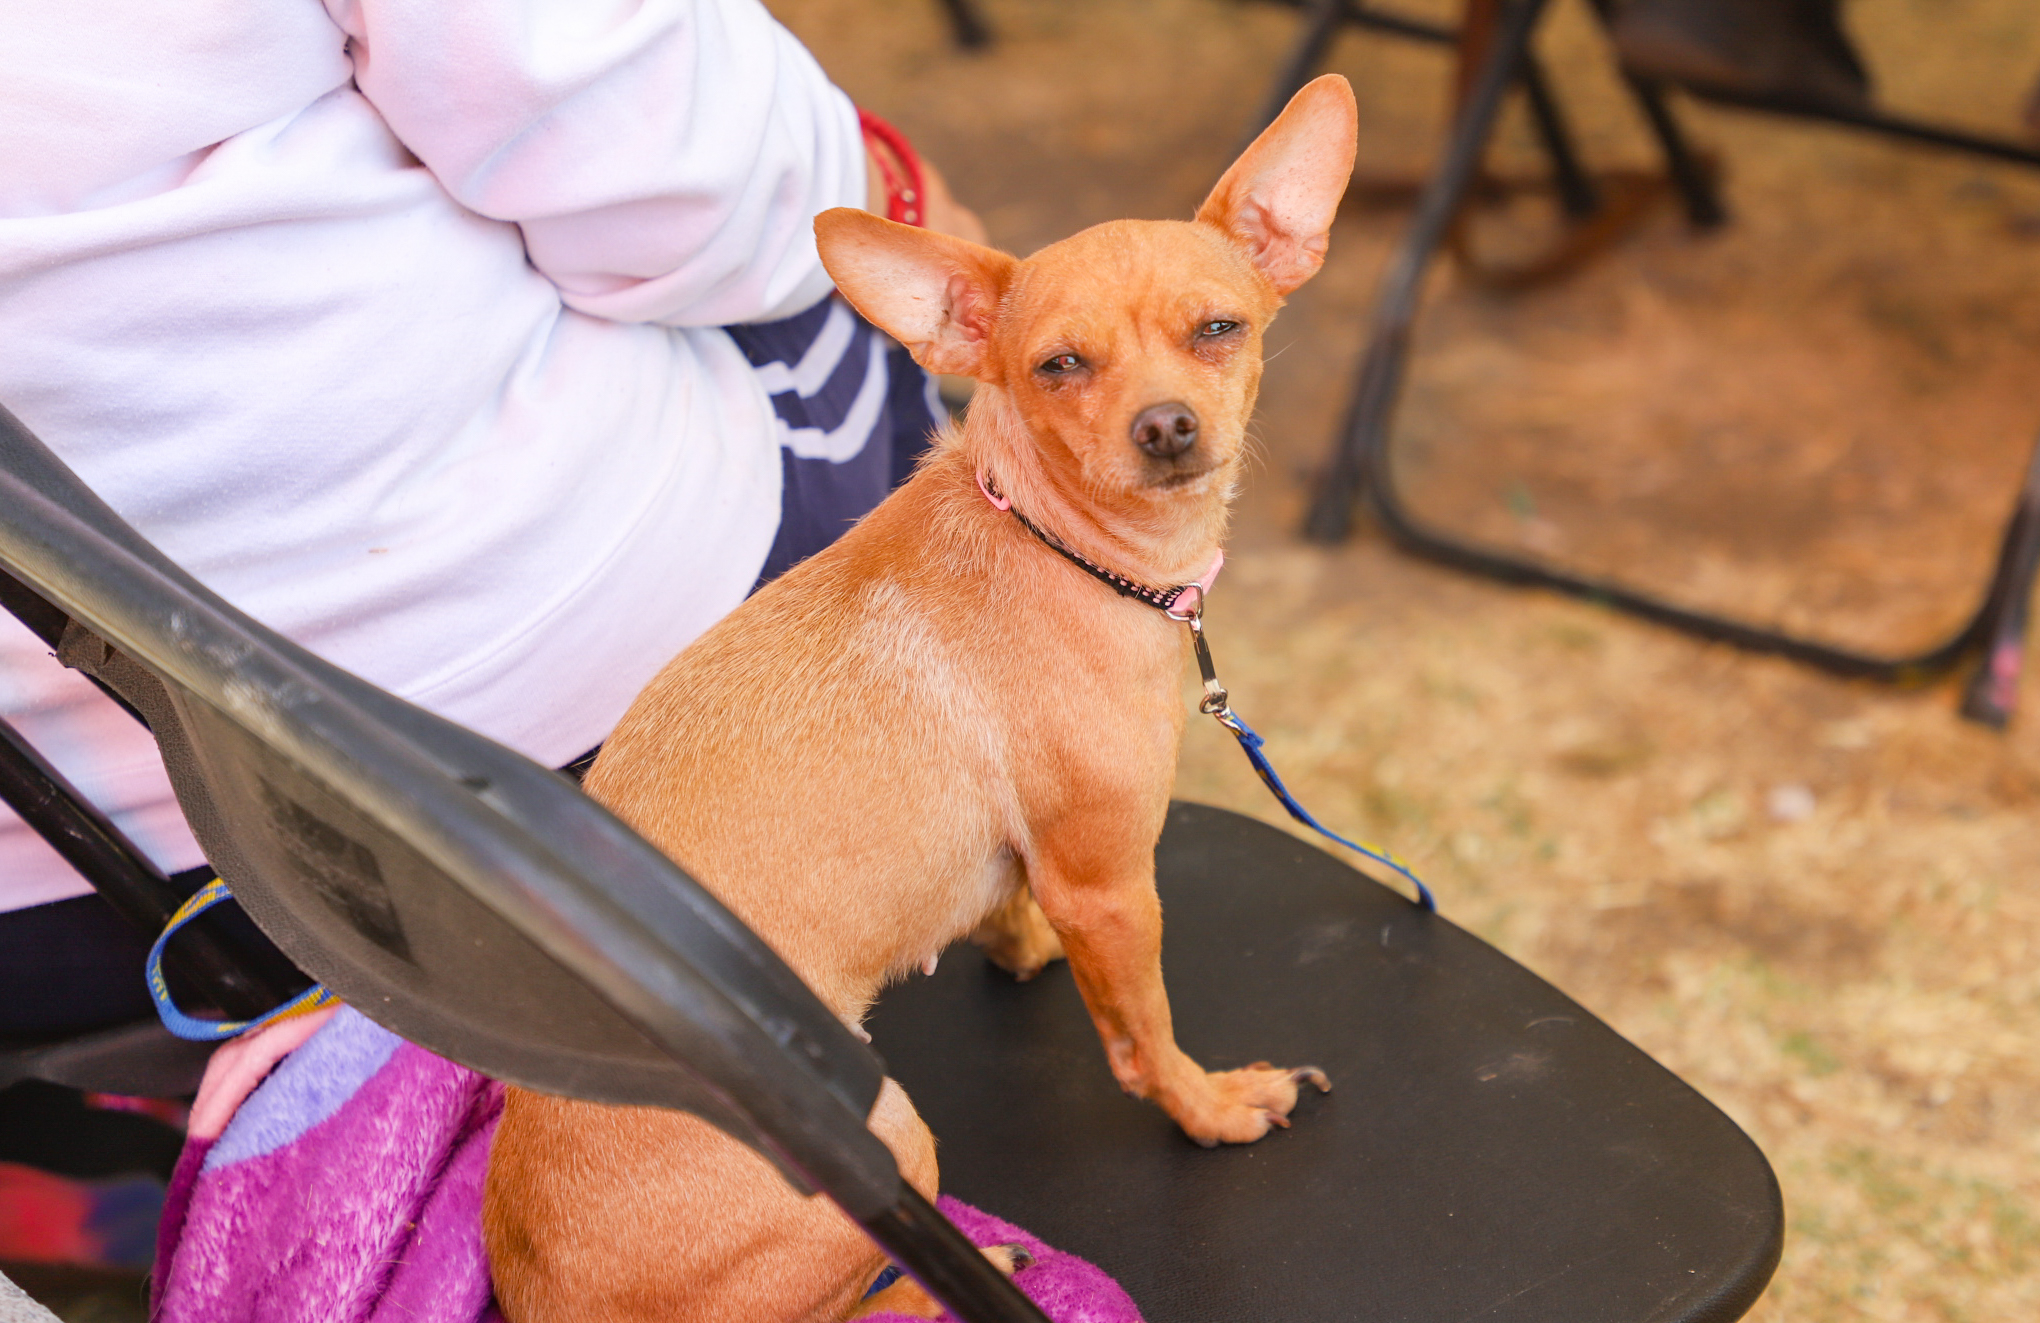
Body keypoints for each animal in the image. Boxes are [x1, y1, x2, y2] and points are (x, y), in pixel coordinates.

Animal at [485, 74, 1362, 1320]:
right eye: (1058, 366)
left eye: (1218, 329)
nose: (1166, 427)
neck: (1054, 542)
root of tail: (531, 1298)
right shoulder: (1111, 886)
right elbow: (1143, 1036)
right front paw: (1210, 1108)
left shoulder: (1046, 871)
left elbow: (1004, 908)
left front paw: (1015, 938)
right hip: (892, 1134)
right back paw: (975, 1267)